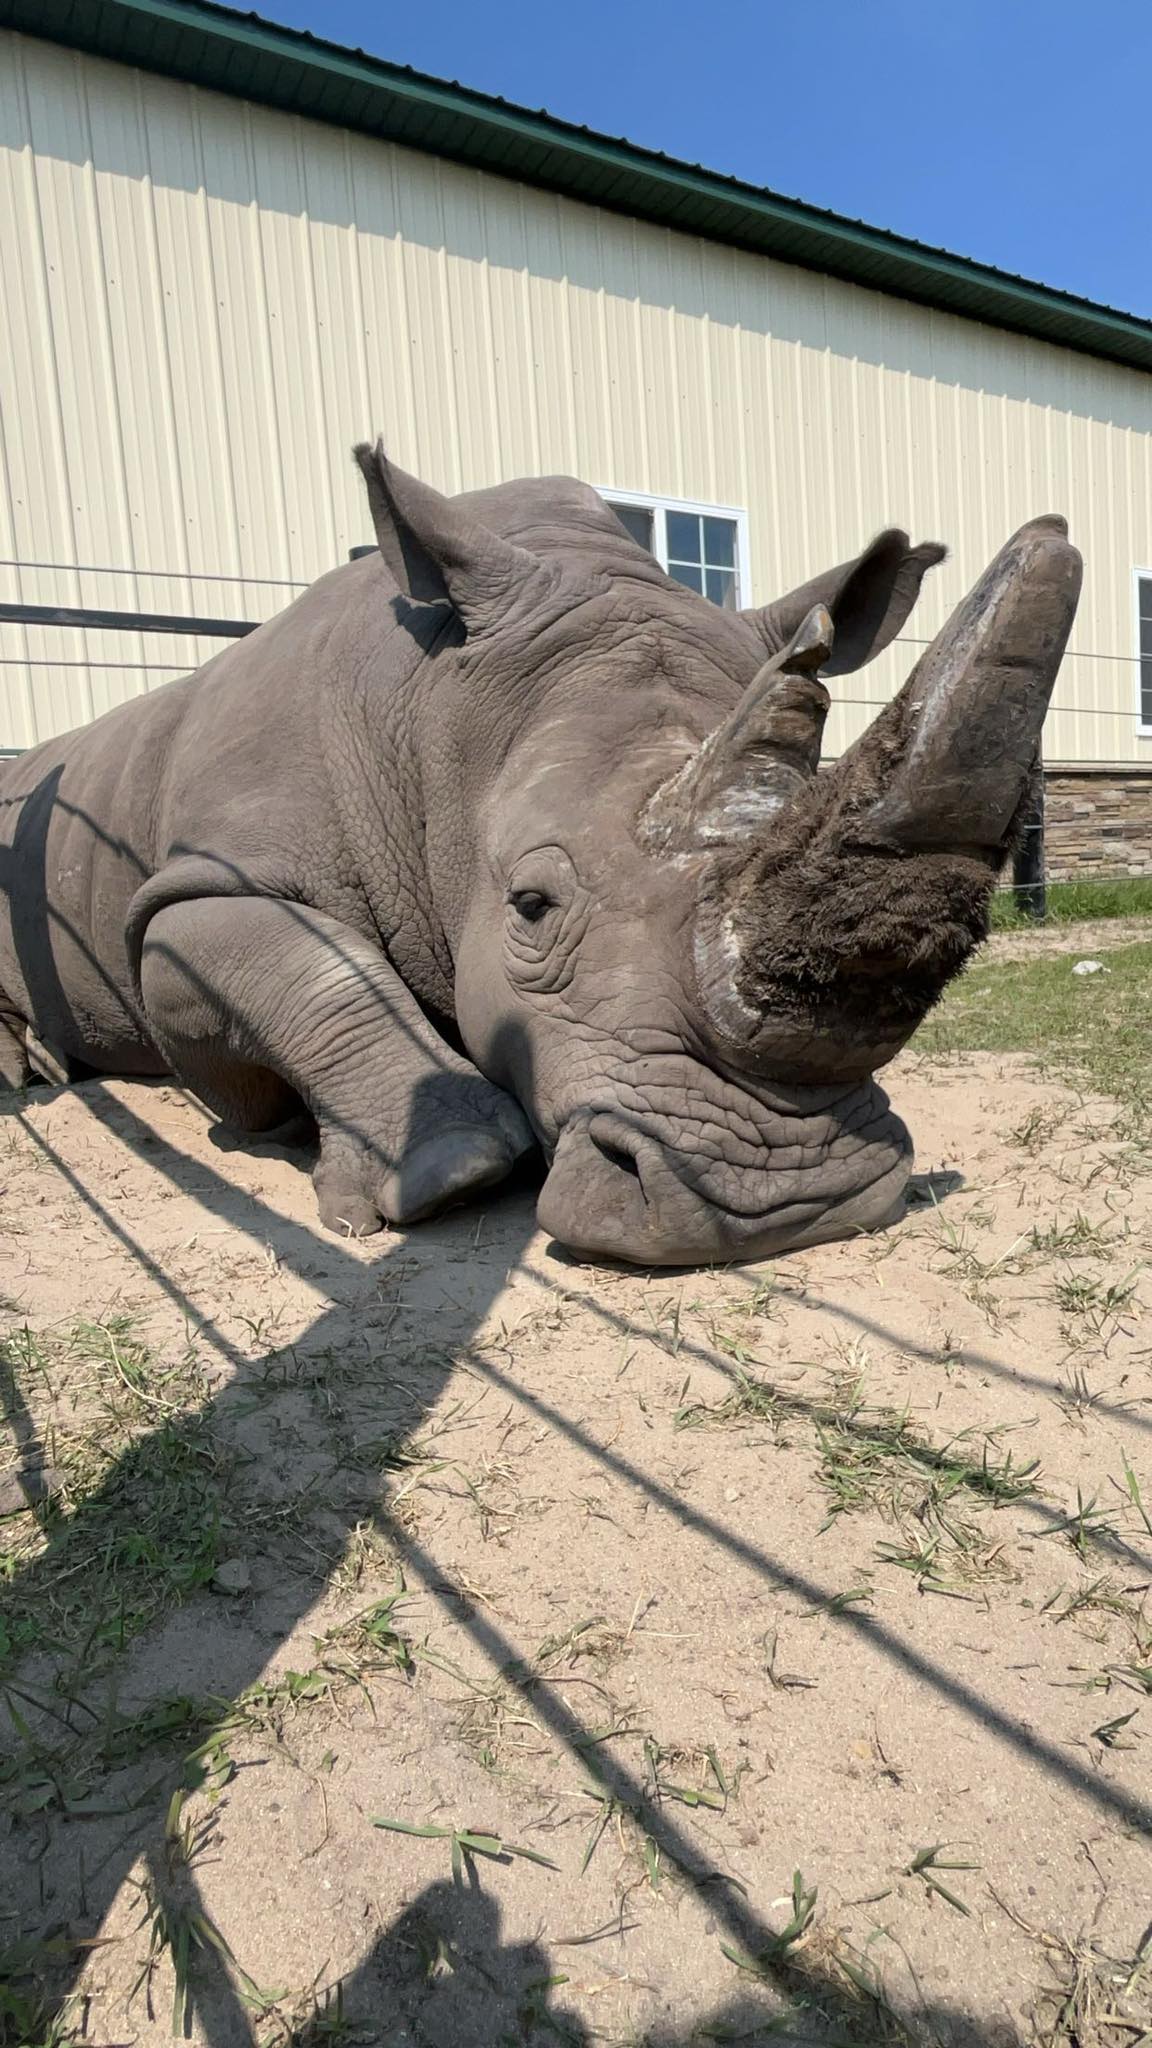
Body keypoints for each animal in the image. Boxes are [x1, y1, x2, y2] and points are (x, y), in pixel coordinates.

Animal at [0, 446, 1080, 1265]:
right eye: (529, 906)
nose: (795, 1198)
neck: (430, 723)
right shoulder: (187, 888)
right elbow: (304, 965)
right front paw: (450, 1168)